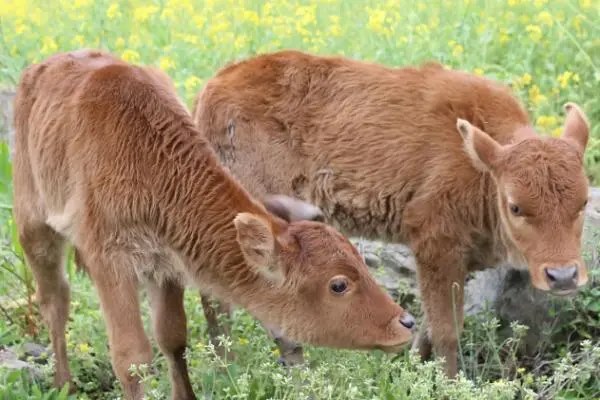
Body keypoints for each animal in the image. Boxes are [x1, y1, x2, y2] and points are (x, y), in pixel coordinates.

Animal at [15, 50, 418, 400]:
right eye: (338, 284)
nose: (406, 323)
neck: (148, 159)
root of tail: (40, 69)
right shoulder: (110, 263)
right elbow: (132, 356)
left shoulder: (166, 265)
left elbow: (173, 338)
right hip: (34, 229)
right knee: (54, 301)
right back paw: (64, 383)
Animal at [193, 48, 592, 376]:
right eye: (515, 206)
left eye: (584, 201)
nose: (563, 276)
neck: (478, 164)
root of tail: (214, 86)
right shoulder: (435, 244)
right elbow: (447, 330)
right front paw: (447, 382)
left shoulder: (458, 260)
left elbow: (429, 324)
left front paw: (411, 368)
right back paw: (239, 367)